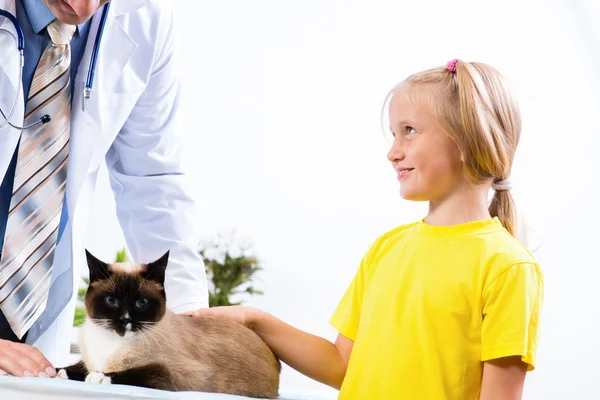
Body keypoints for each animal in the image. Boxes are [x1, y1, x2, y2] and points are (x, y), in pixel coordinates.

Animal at [56, 248, 282, 398]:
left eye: (141, 302)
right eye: (111, 301)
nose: (125, 320)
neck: (110, 342)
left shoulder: (176, 374)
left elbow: (136, 372)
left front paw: (100, 376)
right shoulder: (88, 360)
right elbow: (78, 366)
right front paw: (59, 371)